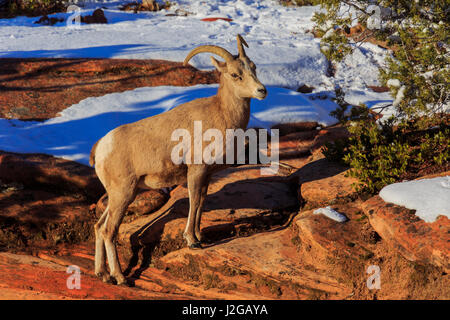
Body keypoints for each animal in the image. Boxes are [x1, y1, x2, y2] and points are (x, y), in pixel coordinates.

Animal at [90, 35, 268, 284]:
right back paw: (121, 278)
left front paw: (200, 237)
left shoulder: (206, 176)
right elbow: (193, 202)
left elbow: (201, 202)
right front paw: (192, 241)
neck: (221, 115)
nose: (262, 91)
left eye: (253, 67)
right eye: (235, 74)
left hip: (120, 195)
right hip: (123, 194)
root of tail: (101, 148)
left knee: (98, 227)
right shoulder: (195, 171)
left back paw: (103, 275)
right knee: (109, 231)